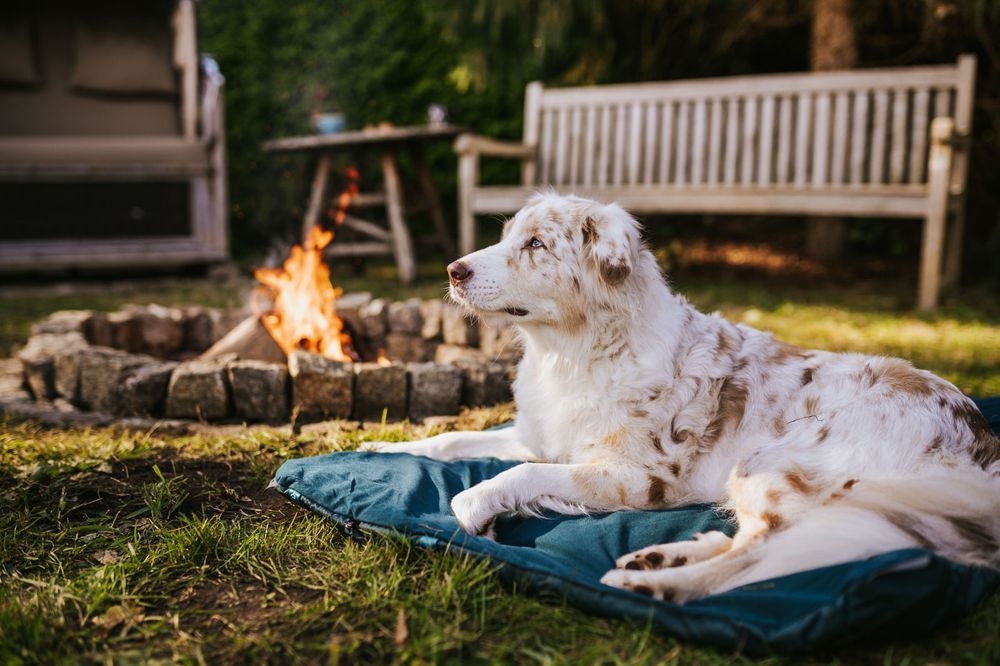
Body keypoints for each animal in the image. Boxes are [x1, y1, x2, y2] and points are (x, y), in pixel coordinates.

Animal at [370, 193, 1000, 600]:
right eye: (506, 237)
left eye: (537, 244)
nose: (452, 270)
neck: (573, 353)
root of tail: (977, 437)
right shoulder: (538, 438)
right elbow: (451, 439)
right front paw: (382, 449)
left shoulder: (634, 476)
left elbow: (515, 477)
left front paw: (473, 502)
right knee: (756, 539)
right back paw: (662, 556)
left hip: (773, 462)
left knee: (766, 553)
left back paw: (652, 584)